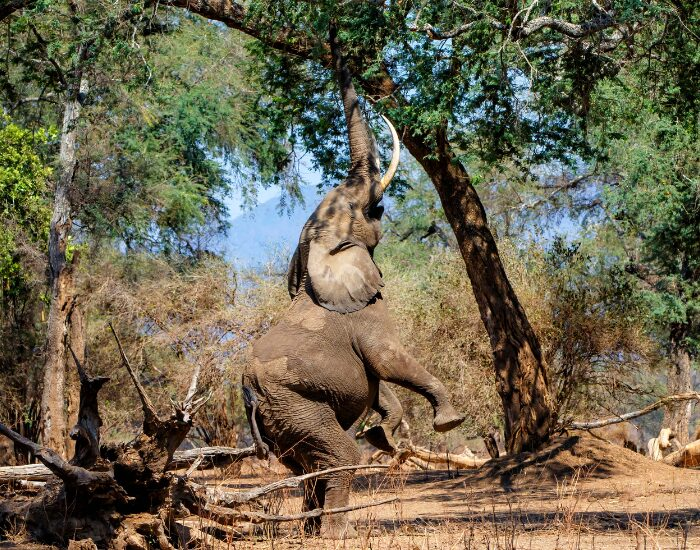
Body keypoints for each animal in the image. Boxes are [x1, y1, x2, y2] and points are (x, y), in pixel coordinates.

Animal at [242, 25, 465, 539]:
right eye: (369, 207)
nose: (333, 33)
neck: (316, 252)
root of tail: (248, 389)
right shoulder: (367, 308)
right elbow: (386, 359)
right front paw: (449, 421)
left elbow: (377, 378)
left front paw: (385, 433)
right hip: (296, 403)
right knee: (336, 457)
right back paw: (336, 532)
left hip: (285, 415)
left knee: (306, 467)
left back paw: (310, 529)